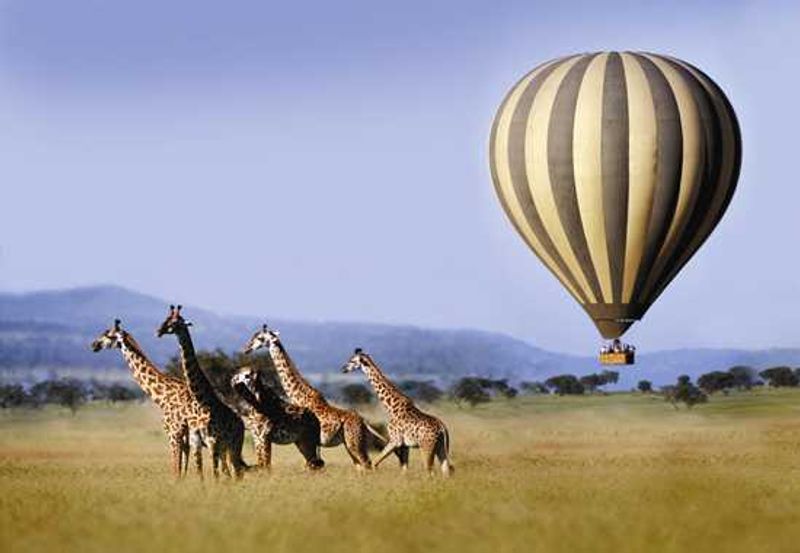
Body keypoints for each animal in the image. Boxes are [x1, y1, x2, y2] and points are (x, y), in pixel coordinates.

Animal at [90, 318, 198, 478]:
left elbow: (176, 470)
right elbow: (182, 468)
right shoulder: (184, 436)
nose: (93, 345)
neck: (163, 395)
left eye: (108, 334)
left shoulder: (174, 433)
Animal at [157, 305, 247, 479]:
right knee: (230, 473)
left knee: (236, 472)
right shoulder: (196, 440)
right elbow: (201, 475)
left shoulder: (213, 441)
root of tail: (241, 424)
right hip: (225, 448)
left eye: (176, 322)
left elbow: (215, 475)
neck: (202, 402)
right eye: (166, 319)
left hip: (234, 445)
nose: (158, 331)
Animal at [242, 325, 385, 470]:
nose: (246, 348)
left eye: (260, 338)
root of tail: (364, 422)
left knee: (367, 464)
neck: (299, 396)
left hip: (354, 442)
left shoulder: (309, 440)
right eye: (254, 335)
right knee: (360, 466)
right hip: (349, 444)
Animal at [342, 348, 453, 476]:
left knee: (430, 471)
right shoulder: (405, 445)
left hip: (426, 446)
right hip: (441, 447)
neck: (391, 407)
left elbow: (375, 462)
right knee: (446, 470)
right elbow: (404, 469)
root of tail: (442, 428)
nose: (343, 368)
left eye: (352, 361)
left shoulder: (395, 440)